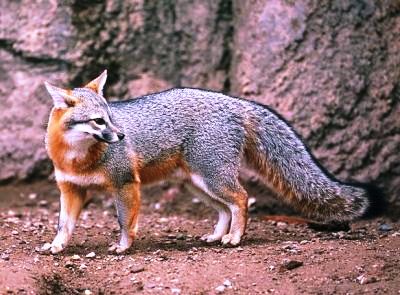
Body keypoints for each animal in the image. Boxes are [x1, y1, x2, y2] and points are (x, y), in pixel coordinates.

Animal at [42, 71, 374, 254]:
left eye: (111, 117)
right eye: (99, 121)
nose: (122, 135)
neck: (77, 157)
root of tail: (234, 102)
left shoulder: (125, 184)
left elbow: (126, 221)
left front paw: (123, 246)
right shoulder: (70, 190)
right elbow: (63, 224)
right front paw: (57, 246)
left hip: (212, 179)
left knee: (241, 199)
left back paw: (234, 238)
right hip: (199, 184)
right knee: (225, 208)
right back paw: (217, 235)